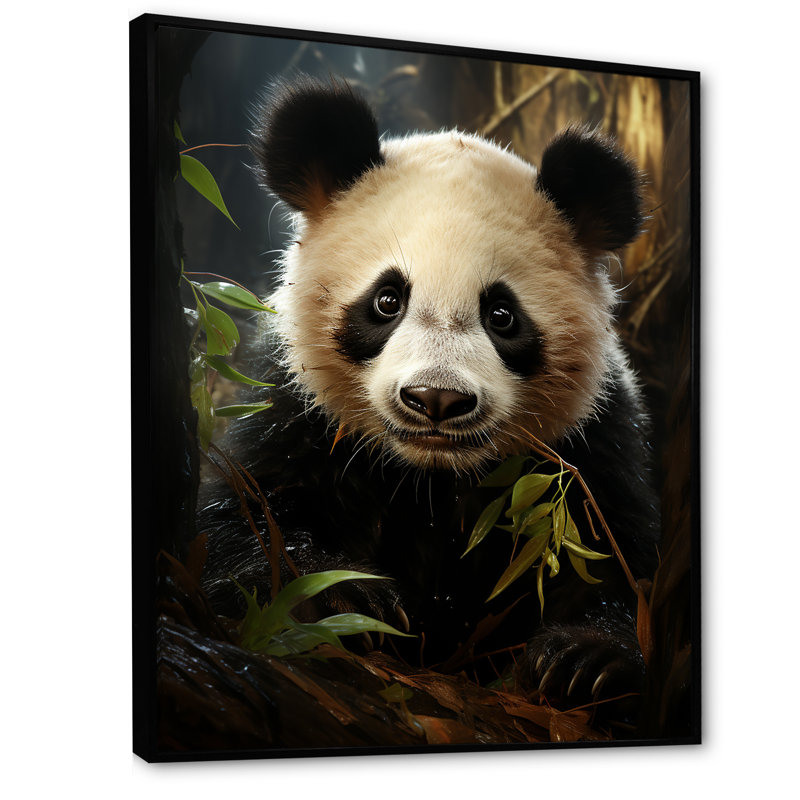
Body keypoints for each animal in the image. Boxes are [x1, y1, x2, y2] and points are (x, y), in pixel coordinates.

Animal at [199, 77, 660, 725]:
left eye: (502, 315)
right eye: (387, 299)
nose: (436, 399)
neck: (431, 476)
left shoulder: (589, 441)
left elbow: (606, 557)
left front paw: (585, 662)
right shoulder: (295, 410)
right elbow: (248, 517)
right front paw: (345, 597)